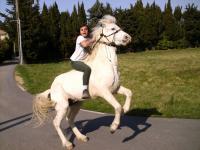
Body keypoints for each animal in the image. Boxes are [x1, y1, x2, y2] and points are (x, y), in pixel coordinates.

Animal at [32, 15, 133, 150]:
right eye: (113, 28)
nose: (128, 37)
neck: (108, 63)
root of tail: (51, 87)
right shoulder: (104, 92)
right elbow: (117, 107)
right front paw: (113, 127)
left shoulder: (115, 89)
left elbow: (129, 93)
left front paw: (126, 109)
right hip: (63, 106)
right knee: (56, 123)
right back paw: (67, 144)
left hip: (76, 104)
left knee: (69, 119)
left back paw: (81, 137)